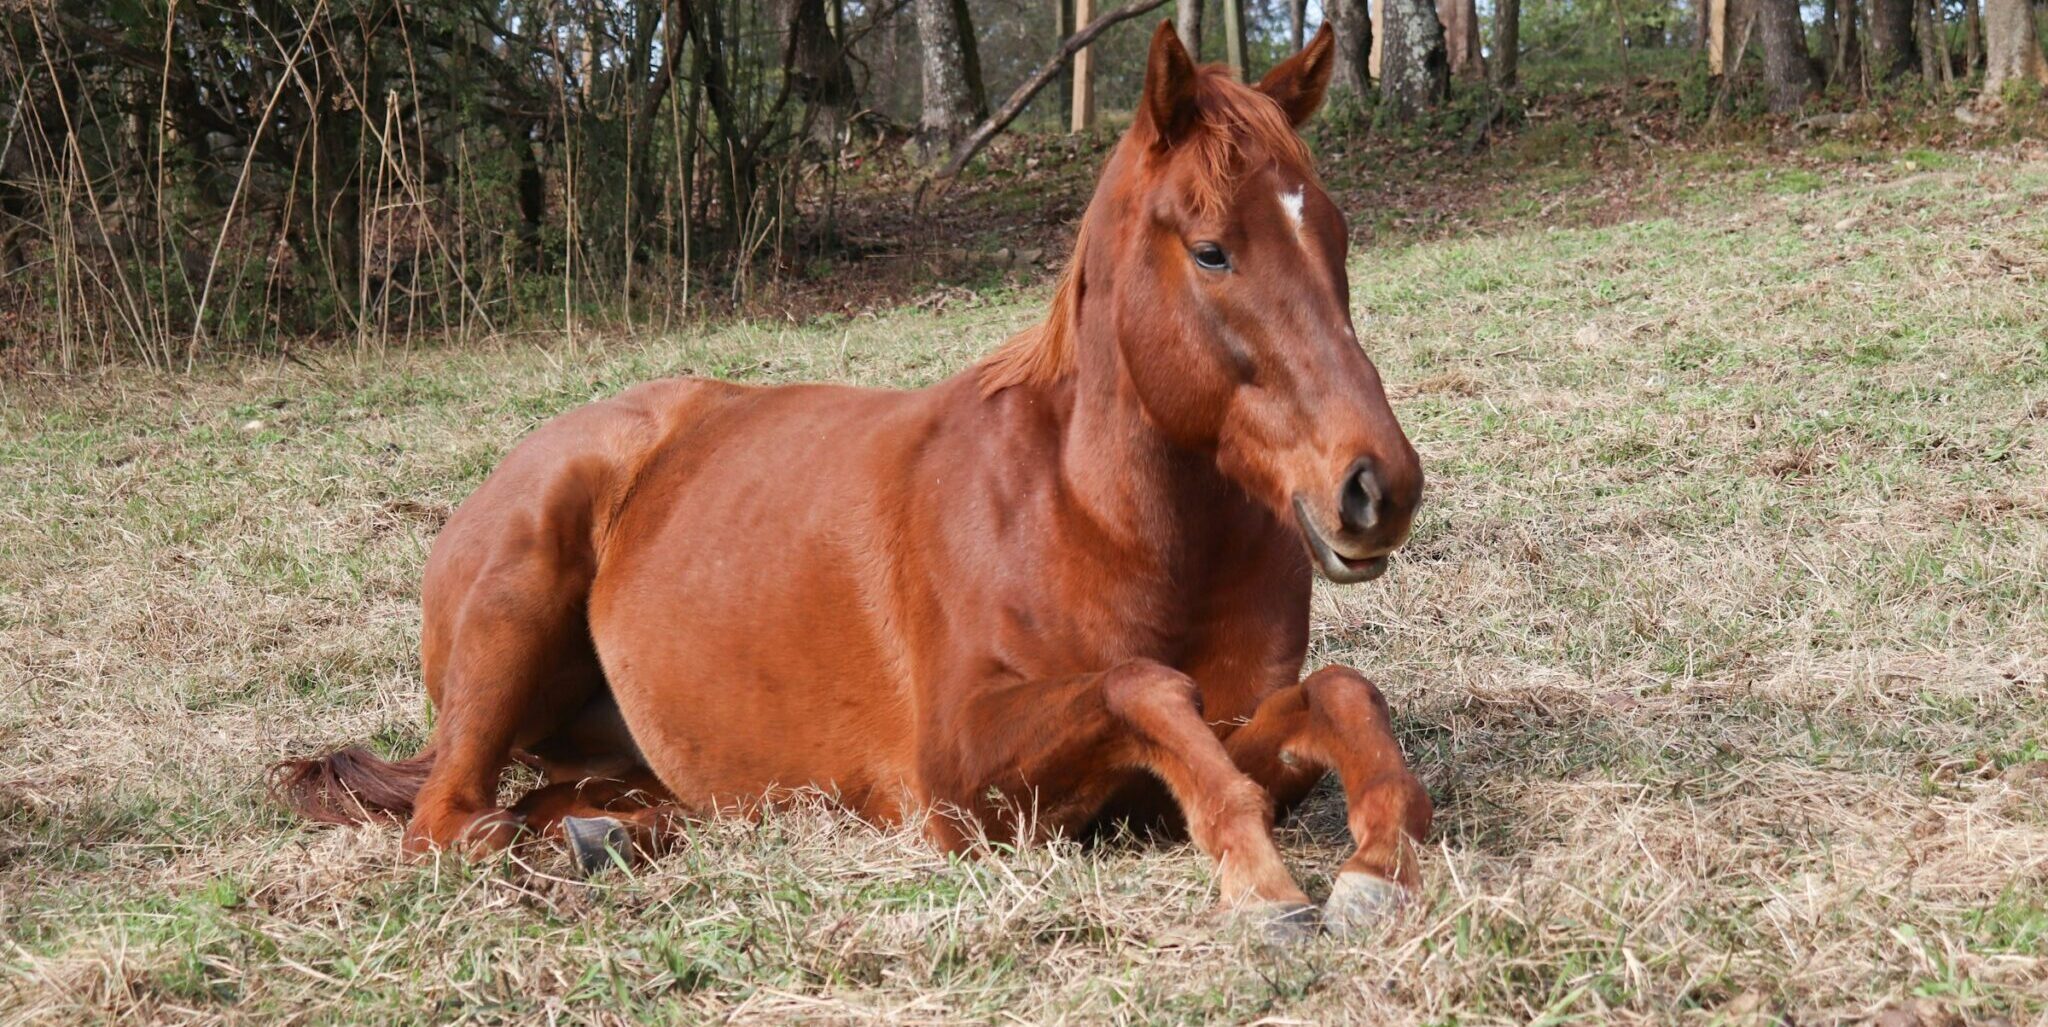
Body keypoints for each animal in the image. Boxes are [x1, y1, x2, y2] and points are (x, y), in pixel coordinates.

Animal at [272, 22, 1431, 938]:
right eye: (1211, 250)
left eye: (1334, 233)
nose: (1378, 486)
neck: (1093, 515)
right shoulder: (964, 784)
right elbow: (1146, 686)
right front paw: (1264, 882)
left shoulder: (1208, 739)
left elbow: (1335, 693)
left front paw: (1378, 864)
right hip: (512, 613)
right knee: (450, 823)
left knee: (574, 801)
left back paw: (607, 835)